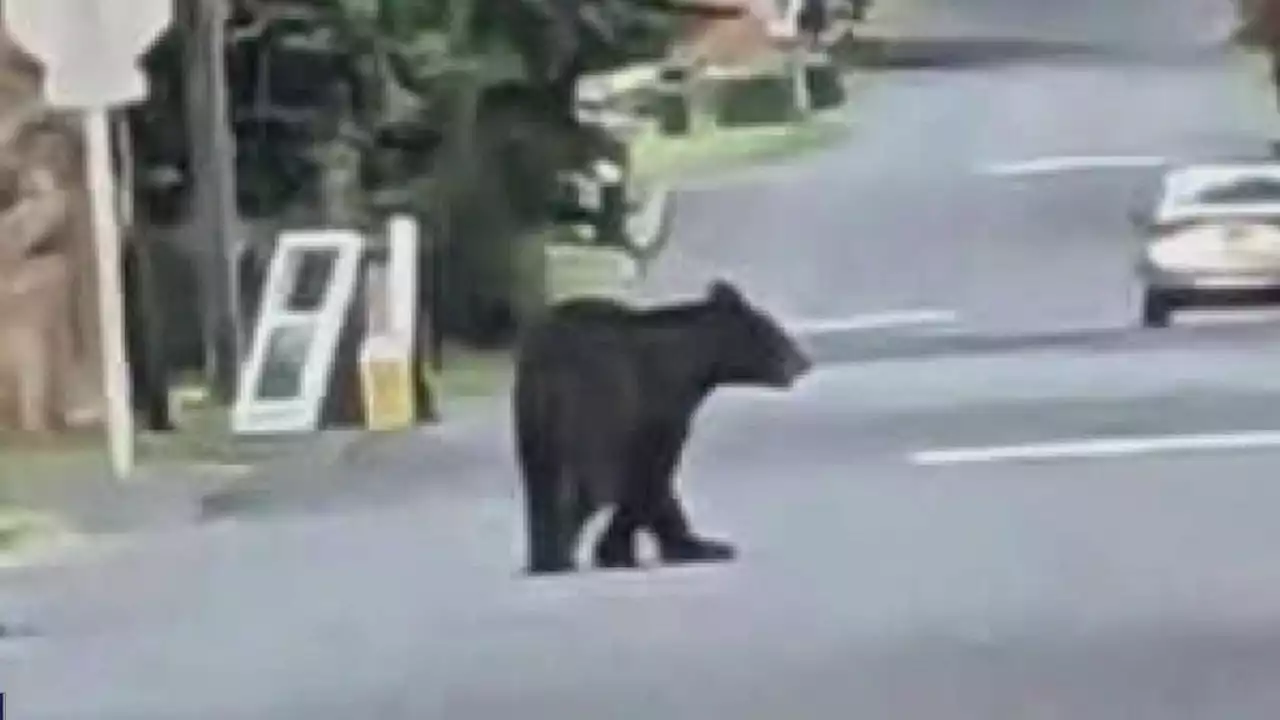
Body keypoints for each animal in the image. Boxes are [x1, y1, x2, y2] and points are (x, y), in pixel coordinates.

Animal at [509, 278, 808, 573]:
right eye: (771, 328)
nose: (803, 361)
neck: (694, 362)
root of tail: (554, 361)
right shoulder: (658, 406)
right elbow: (652, 473)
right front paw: (622, 550)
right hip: (598, 405)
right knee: (591, 484)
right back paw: (562, 552)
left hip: (533, 417)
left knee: (541, 481)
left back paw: (545, 558)